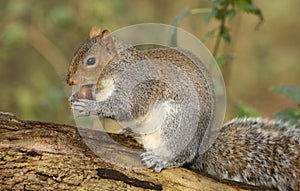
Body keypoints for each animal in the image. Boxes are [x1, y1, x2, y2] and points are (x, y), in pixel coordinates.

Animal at [67, 27, 298, 190]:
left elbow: (127, 108)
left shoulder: (138, 85)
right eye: (76, 53)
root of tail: (200, 146)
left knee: (182, 156)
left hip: (176, 123)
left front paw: (89, 106)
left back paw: (162, 158)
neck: (116, 69)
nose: (70, 81)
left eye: (91, 61)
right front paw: (78, 97)